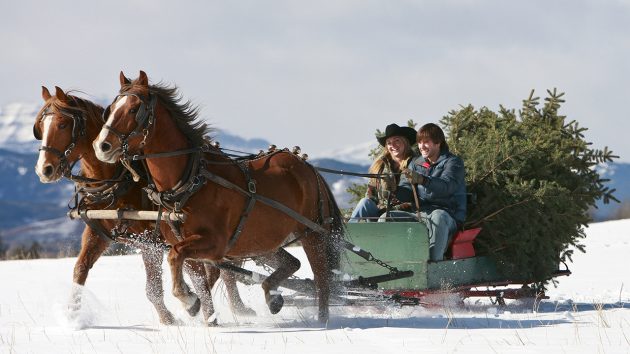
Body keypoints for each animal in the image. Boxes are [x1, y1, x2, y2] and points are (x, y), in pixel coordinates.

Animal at [32, 85, 254, 324]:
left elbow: (154, 288)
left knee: (220, 270)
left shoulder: (149, 241)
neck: (117, 180)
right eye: (41, 127)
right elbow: (80, 270)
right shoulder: (97, 233)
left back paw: (232, 307)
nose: (44, 169)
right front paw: (72, 316)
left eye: (63, 124)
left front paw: (169, 319)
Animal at [94, 70, 346, 322]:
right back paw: (272, 295)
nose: (101, 146)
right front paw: (204, 315)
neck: (190, 182)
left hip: (313, 233)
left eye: (134, 109)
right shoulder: (189, 249)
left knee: (322, 280)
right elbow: (200, 283)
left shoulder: (215, 244)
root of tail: (307, 166)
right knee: (293, 263)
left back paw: (322, 320)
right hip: (263, 241)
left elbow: (176, 258)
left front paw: (188, 300)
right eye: (111, 108)